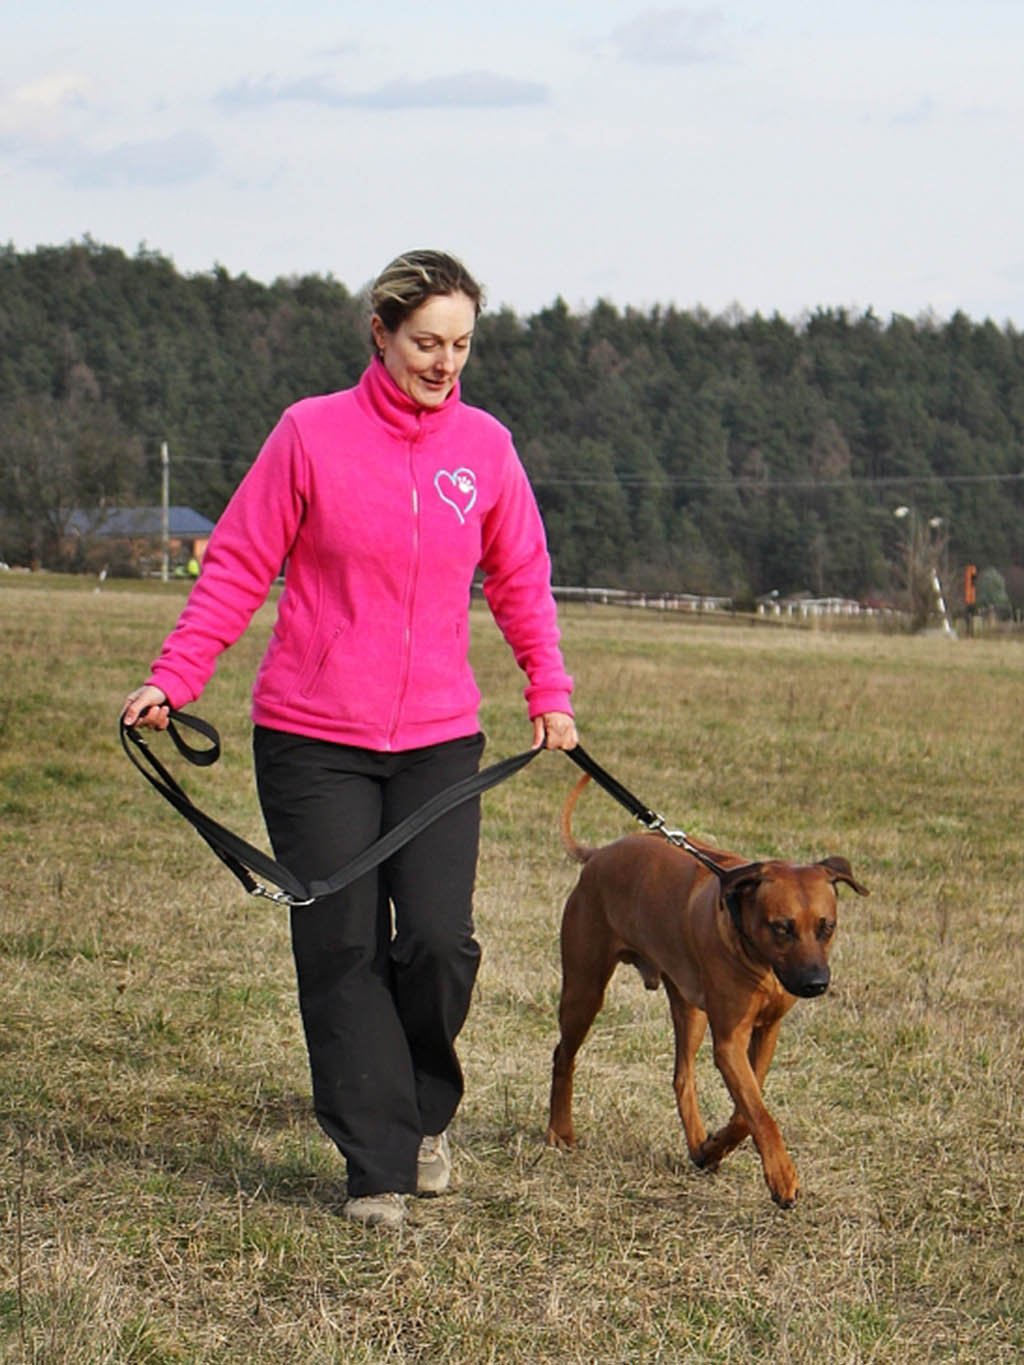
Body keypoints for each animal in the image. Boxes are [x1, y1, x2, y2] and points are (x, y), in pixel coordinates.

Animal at [548, 780, 868, 1206]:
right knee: (563, 1055)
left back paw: (699, 1144)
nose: (816, 983)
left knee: (682, 1076)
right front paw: (782, 1175)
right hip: (584, 990)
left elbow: (746, 1111)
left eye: (826, 927)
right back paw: (559, 1130)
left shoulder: (767, 1030)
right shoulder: (731, 1040)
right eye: (781, 927)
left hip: (689, 1008)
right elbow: (759, 1112)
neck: (760, 960)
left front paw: (716, 1147)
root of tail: (598, 855)